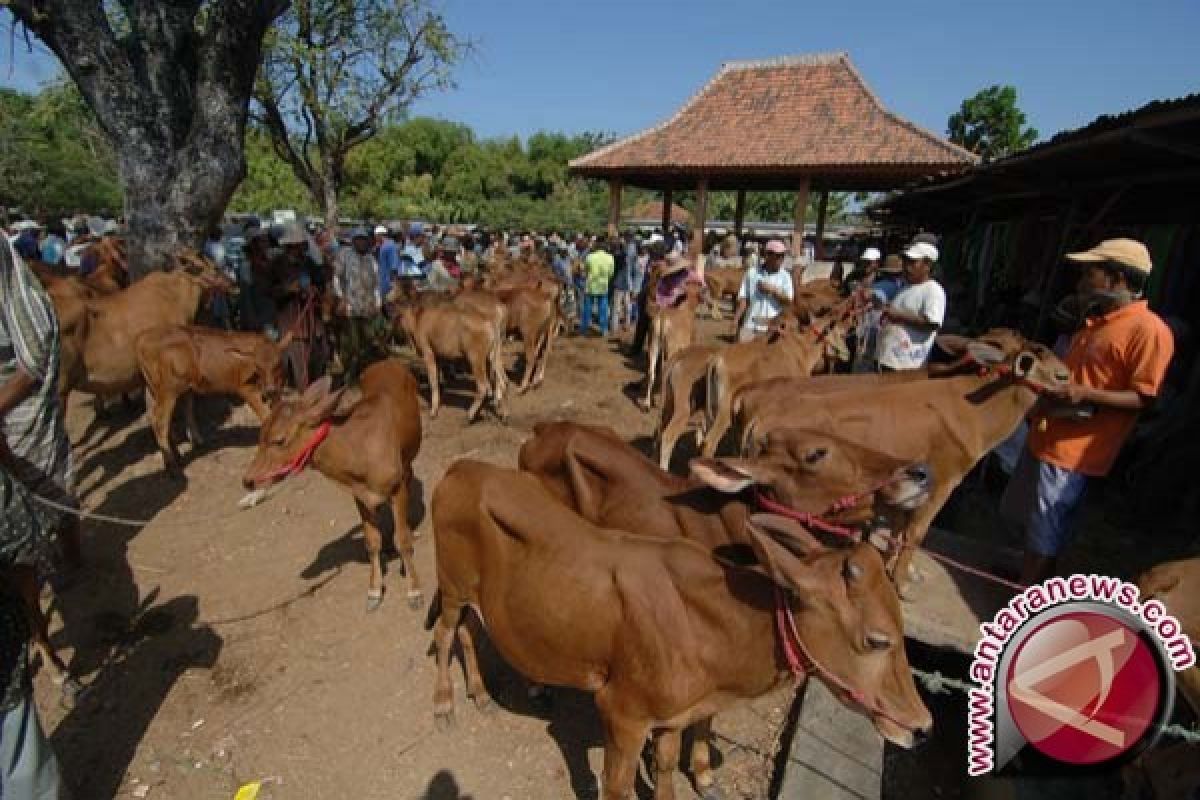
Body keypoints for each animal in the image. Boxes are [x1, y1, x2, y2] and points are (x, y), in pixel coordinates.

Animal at [136, 326, 292, 474]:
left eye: (278, 364)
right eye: (258, 367)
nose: (269, 389)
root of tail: (143, 337)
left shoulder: (277, 390)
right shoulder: (246, 389)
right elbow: (266, 415)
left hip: (159, 390)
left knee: (161, 416)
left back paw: (181, 454)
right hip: (168, 390)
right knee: (161, 422)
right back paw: (172, 467)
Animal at [241, 362, 424, 614]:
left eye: (279, 440)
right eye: (260, 435)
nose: (248, 480)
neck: (358, 451)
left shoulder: (396, 489)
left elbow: (403, 541)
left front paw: (414, 591)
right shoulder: (360, 496)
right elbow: (371, 541)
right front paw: (374, 591)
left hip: (408, 459)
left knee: (410, 477)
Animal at [434, 462, 936, 800]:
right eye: (877, 640)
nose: (923, 727)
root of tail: (462, 468)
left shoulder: (673, 717)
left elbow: (666, 767)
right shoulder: (622, 713)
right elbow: (616, 787)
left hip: (472, 594)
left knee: (469, 631)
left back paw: (483, 692)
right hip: (452, 585)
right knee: (443, 635)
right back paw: (445, 704)